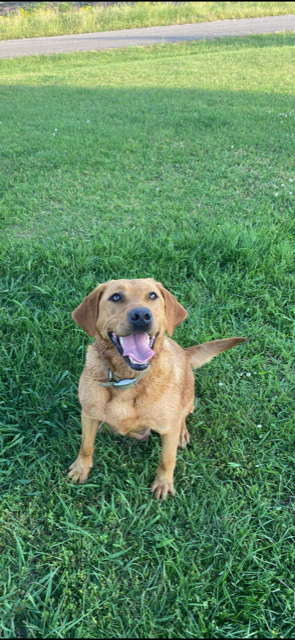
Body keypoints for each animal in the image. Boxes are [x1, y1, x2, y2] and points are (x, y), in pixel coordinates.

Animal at [69, 280, 245, 500]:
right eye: (116, 297)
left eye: (152, 296)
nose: (141, 315)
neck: (127, 379)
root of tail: (185, 354)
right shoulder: (88, 415)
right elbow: (86, 446)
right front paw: (80, 469)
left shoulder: (167, 430)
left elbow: (167, 459)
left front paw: (163, 483)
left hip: (187, 397)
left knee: (183, 416)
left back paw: (181, 433)